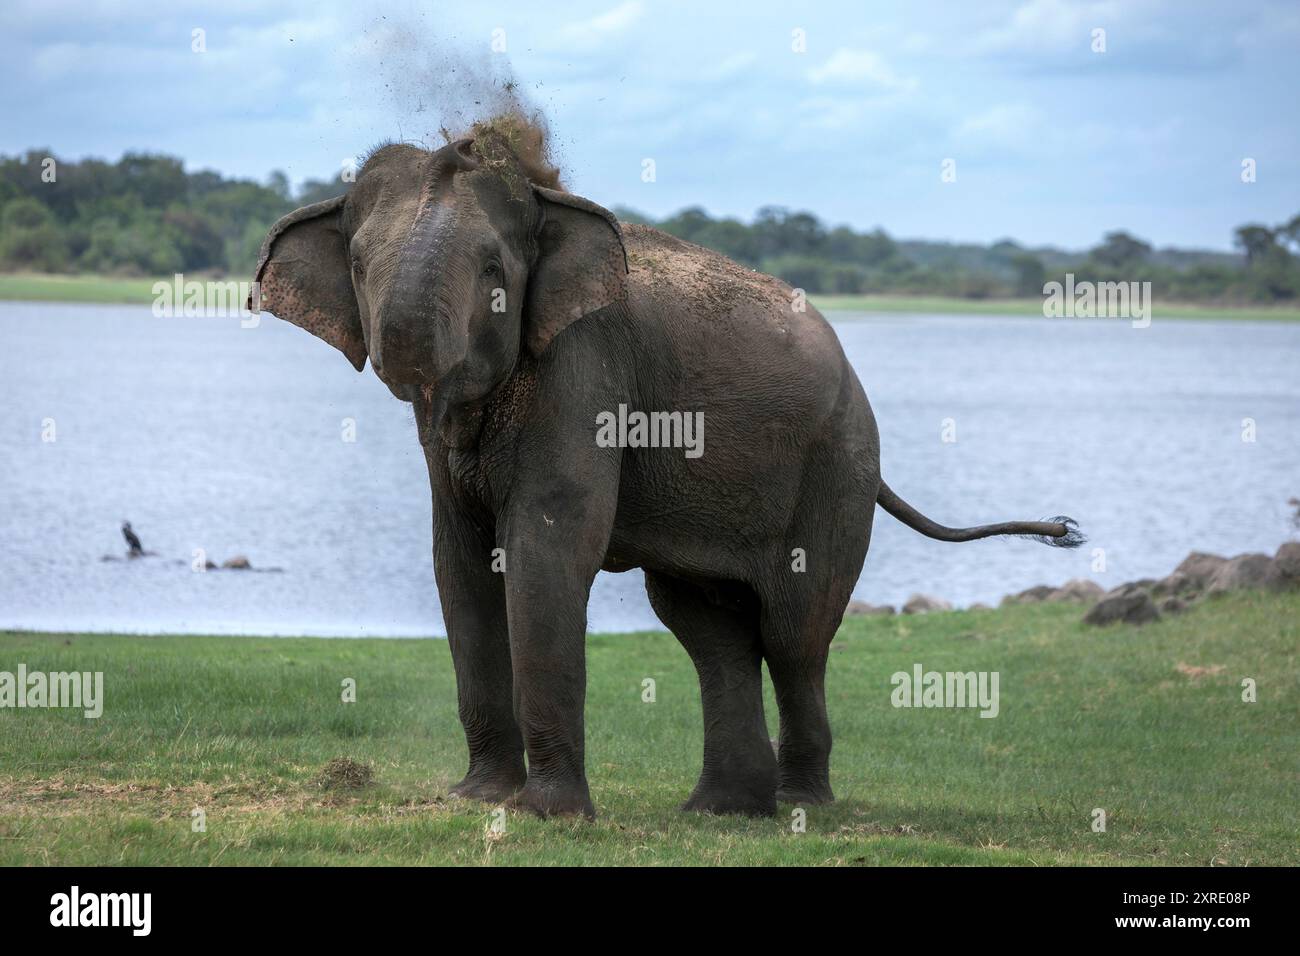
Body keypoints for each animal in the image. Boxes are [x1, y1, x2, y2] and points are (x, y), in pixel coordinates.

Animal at [248, 125, 1081, 816]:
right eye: (358, 264)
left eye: (492, 270)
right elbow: (459, 560)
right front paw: (477, 799)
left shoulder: (585, 367)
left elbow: (546, 547)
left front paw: (546, 816)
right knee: (710, 628)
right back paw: (722, 812)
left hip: (836, 468)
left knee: (794, 636)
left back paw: (800, 806)